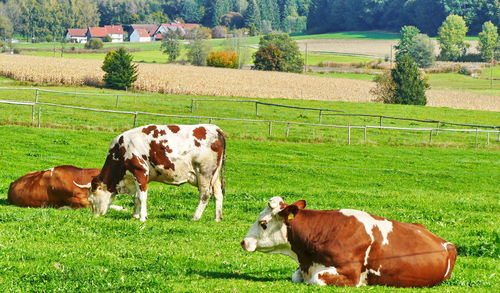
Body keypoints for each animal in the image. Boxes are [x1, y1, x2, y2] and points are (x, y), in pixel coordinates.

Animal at [76, 123, 227, 221]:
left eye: (91, 199)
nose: (94, 216)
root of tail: (216, 128)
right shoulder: (134, 177)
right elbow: (136, 197)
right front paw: (135, 215)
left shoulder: (140, 171)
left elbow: (142, 197)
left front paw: (142, 217)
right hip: (214, 175)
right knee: (218, 193)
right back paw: (217, 217)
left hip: (204, 173)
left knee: (205, 195)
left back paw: (195, 217)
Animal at [242, 197, 458, 286]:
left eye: (263, 223)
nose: (243, 242)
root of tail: (446, 243)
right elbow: (296, 276)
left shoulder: (350, 273)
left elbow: (317, 279)